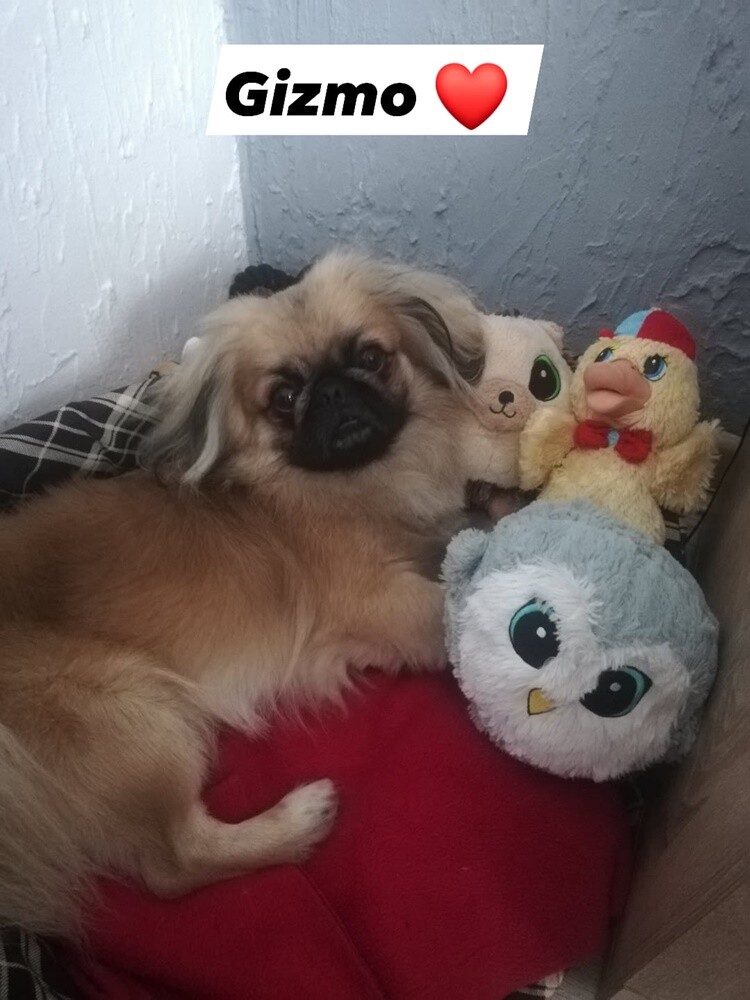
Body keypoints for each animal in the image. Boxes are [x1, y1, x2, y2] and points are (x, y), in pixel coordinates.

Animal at [0, 249, 485, 936]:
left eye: (370, 357)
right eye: (283, 398)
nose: (333, 391)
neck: (351, 484)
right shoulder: (386, 604)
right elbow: (459, 596)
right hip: (135, 712)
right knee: (175, 864)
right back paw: (299, 821)